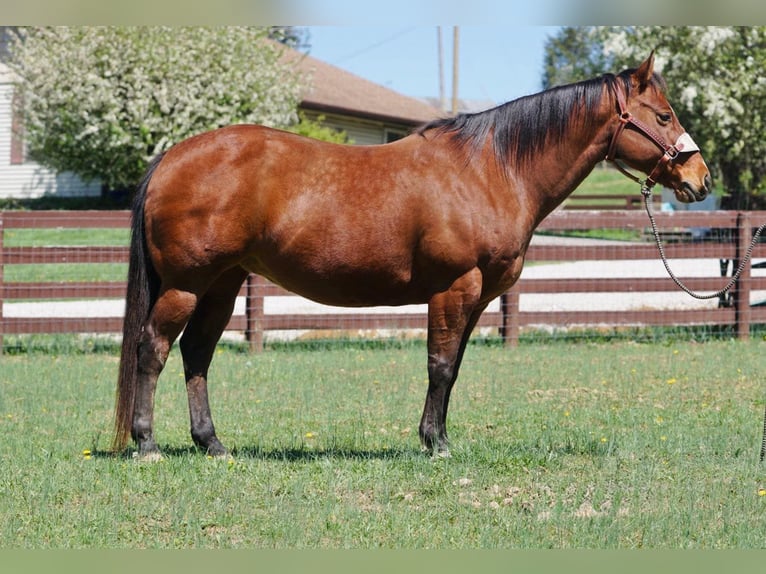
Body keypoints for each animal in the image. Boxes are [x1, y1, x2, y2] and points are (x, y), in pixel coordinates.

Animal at [112, 52, 711, 460]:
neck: (491, 170)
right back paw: (148, 444)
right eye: (662, 116)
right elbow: (439, 366)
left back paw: (212, 444)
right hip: (187, 284)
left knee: (197, 354)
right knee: (153, 349)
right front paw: (435, 444)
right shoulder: (454, 288)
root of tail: (172, 157)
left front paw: (437, 436)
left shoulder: (476, 299)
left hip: (224, 282)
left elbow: (453, 368)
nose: (700, 178)